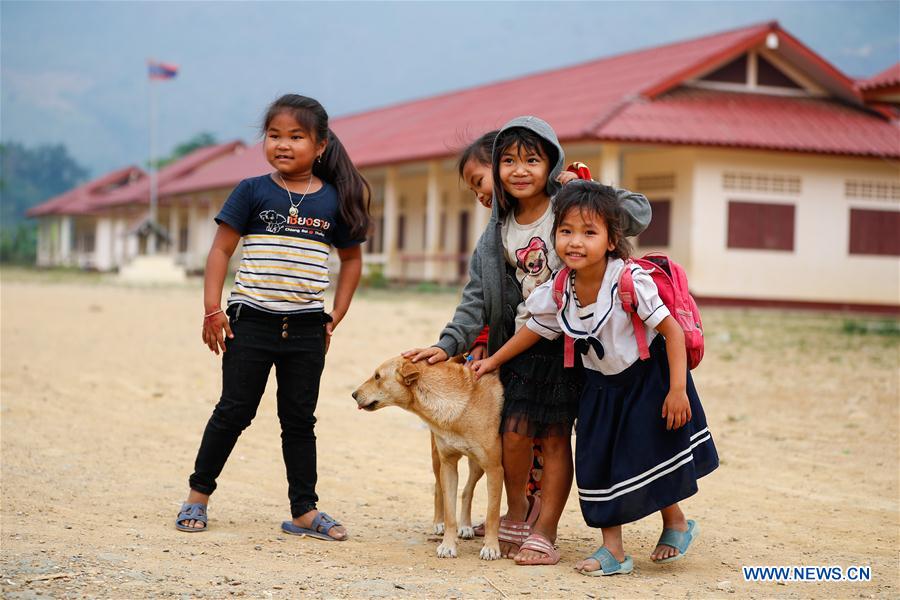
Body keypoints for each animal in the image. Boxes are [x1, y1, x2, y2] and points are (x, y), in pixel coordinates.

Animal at [354, 354, 506, 560]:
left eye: (377, 376)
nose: (353, 394)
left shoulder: (494, 468)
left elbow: (492, 514)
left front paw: (491, 547)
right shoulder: (448, 464)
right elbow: (450, 513)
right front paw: (448, 545)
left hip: (478, 465)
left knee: (467, 491)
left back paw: (466, 526)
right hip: (437, 460)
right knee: (438, 488)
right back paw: (440, 524)